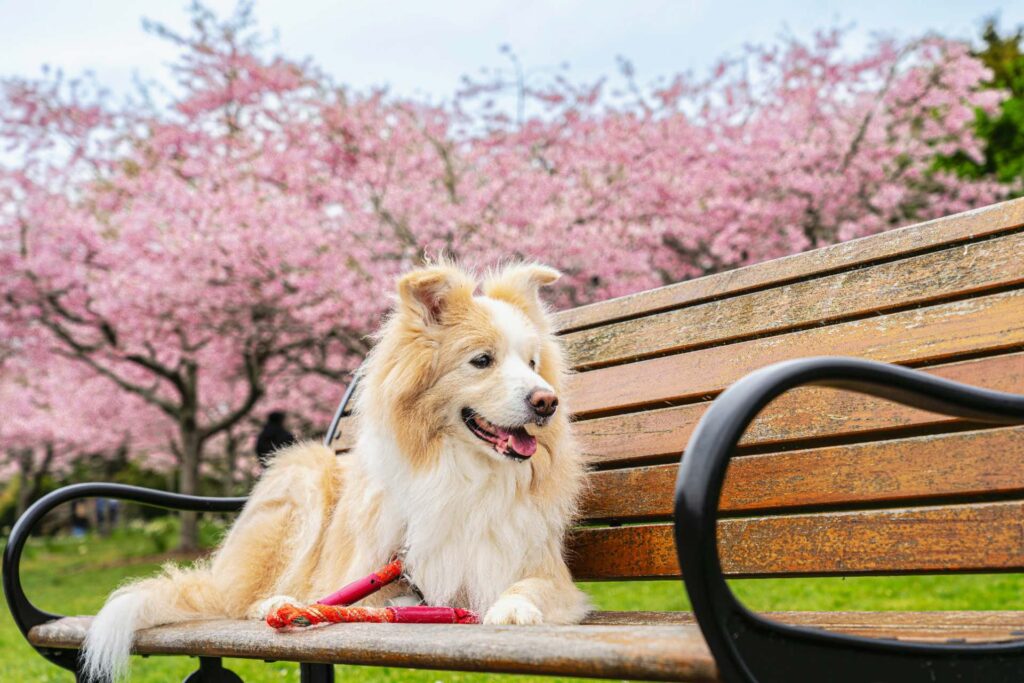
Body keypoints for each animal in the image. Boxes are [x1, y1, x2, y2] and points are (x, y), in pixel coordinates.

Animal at [83, 260, 589, 679]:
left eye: (533, 363)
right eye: (482, 360)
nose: (547, 402)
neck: (466, 472)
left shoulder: (545, 571)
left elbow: (531, 587)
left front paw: (513, 606)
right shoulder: (374, 573)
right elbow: (346, 597)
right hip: (303, 477)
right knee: (250, 596)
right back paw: (275, 601)